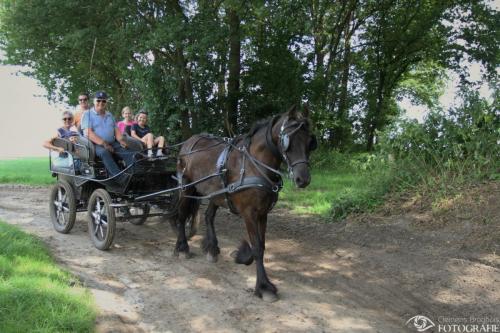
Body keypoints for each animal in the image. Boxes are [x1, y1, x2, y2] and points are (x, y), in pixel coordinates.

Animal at [172, 104, 316, 300]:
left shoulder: (263, 213)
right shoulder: (249, 213)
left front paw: (242, 256)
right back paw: (182, 248)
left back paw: (212, 249)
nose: (303, 179)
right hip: (186, 188)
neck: (254, 165)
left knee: (208, 216)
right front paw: (263, 287)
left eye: (310, 142)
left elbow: (261, 246)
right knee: (180, 216)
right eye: (288, 140)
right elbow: (257, 248)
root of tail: (189, 142)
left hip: (216, 193)